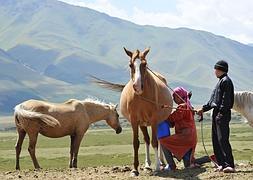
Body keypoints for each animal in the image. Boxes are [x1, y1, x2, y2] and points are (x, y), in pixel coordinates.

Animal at [92, 47, 173, 176]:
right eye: (130, 65)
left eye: (144, 64)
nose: (137, 86)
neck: (141, 97)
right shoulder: (134, 121)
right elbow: (136, 143)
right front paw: (135, 169)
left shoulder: (154, 120)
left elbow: (155, 142)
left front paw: (157, 167)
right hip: (143, 123)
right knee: (146, 140)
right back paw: (147, 164)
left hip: (157, 121)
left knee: (158, 140)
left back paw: (160, 162)